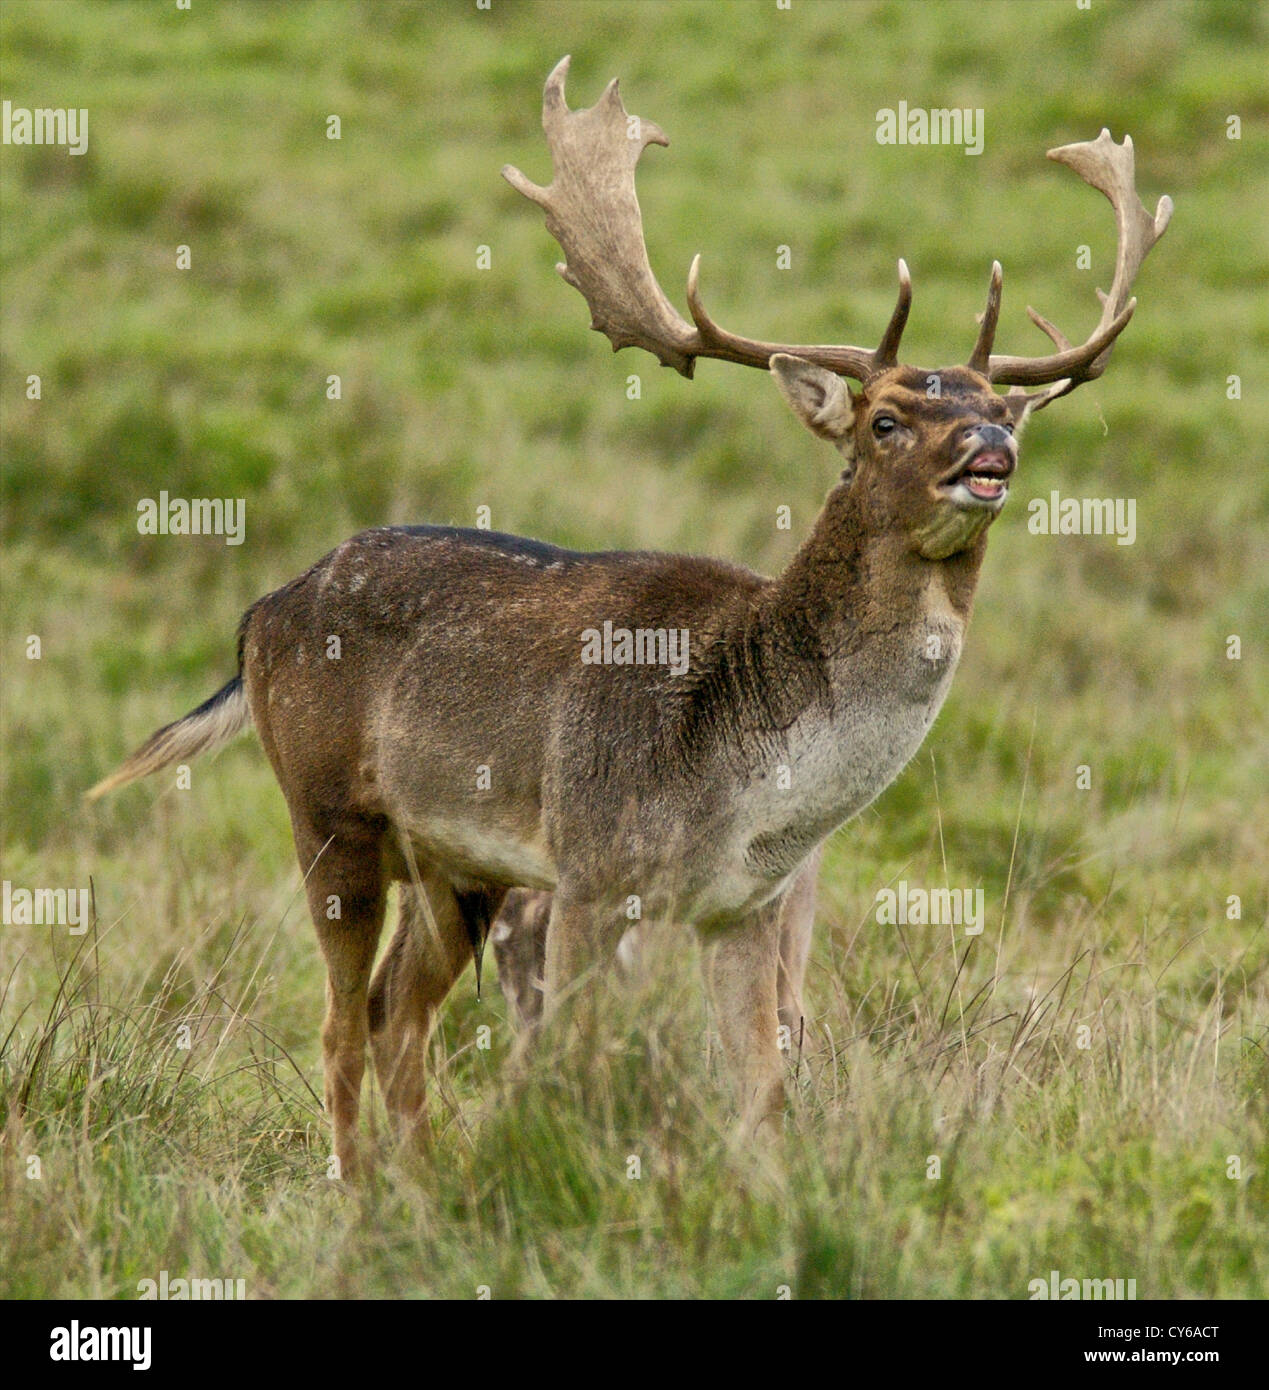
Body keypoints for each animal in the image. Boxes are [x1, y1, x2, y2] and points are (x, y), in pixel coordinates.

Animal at [88, 57, 1170, 1177]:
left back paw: (419, 1187)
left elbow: (764, 1090)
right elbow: (570, 1062)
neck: (742, 775)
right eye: (884, 418)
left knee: (397, 1011)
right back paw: (359, 1193)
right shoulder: (594, 868)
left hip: (454, 863)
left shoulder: (747, 905)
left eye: (993, 403)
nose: (990, 447)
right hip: (327, 810)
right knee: (343, 1020)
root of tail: (259, 613)